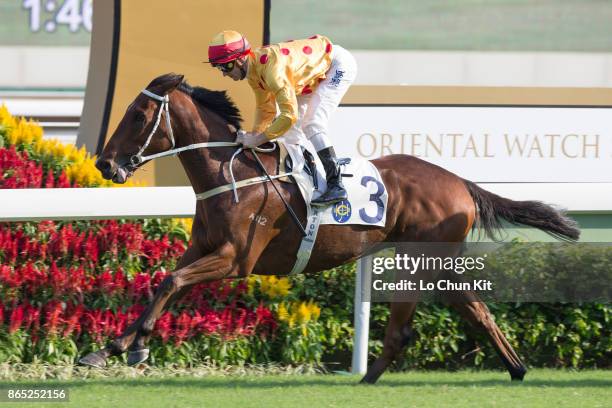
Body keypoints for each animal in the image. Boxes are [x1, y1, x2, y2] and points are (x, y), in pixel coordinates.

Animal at [80, 72, 580, 382]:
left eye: (138, 116)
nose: (105, 163)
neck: (233, 173)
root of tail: (459, 181)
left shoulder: (236, 259)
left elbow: (173, 281)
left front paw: (134, 346)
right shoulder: (203, 248)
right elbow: (166, 281)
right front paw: (110, 348)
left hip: (419, 258)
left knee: (415, 324)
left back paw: (373, 379)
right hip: (428, 261)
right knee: (473, 310)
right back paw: (512, 368)